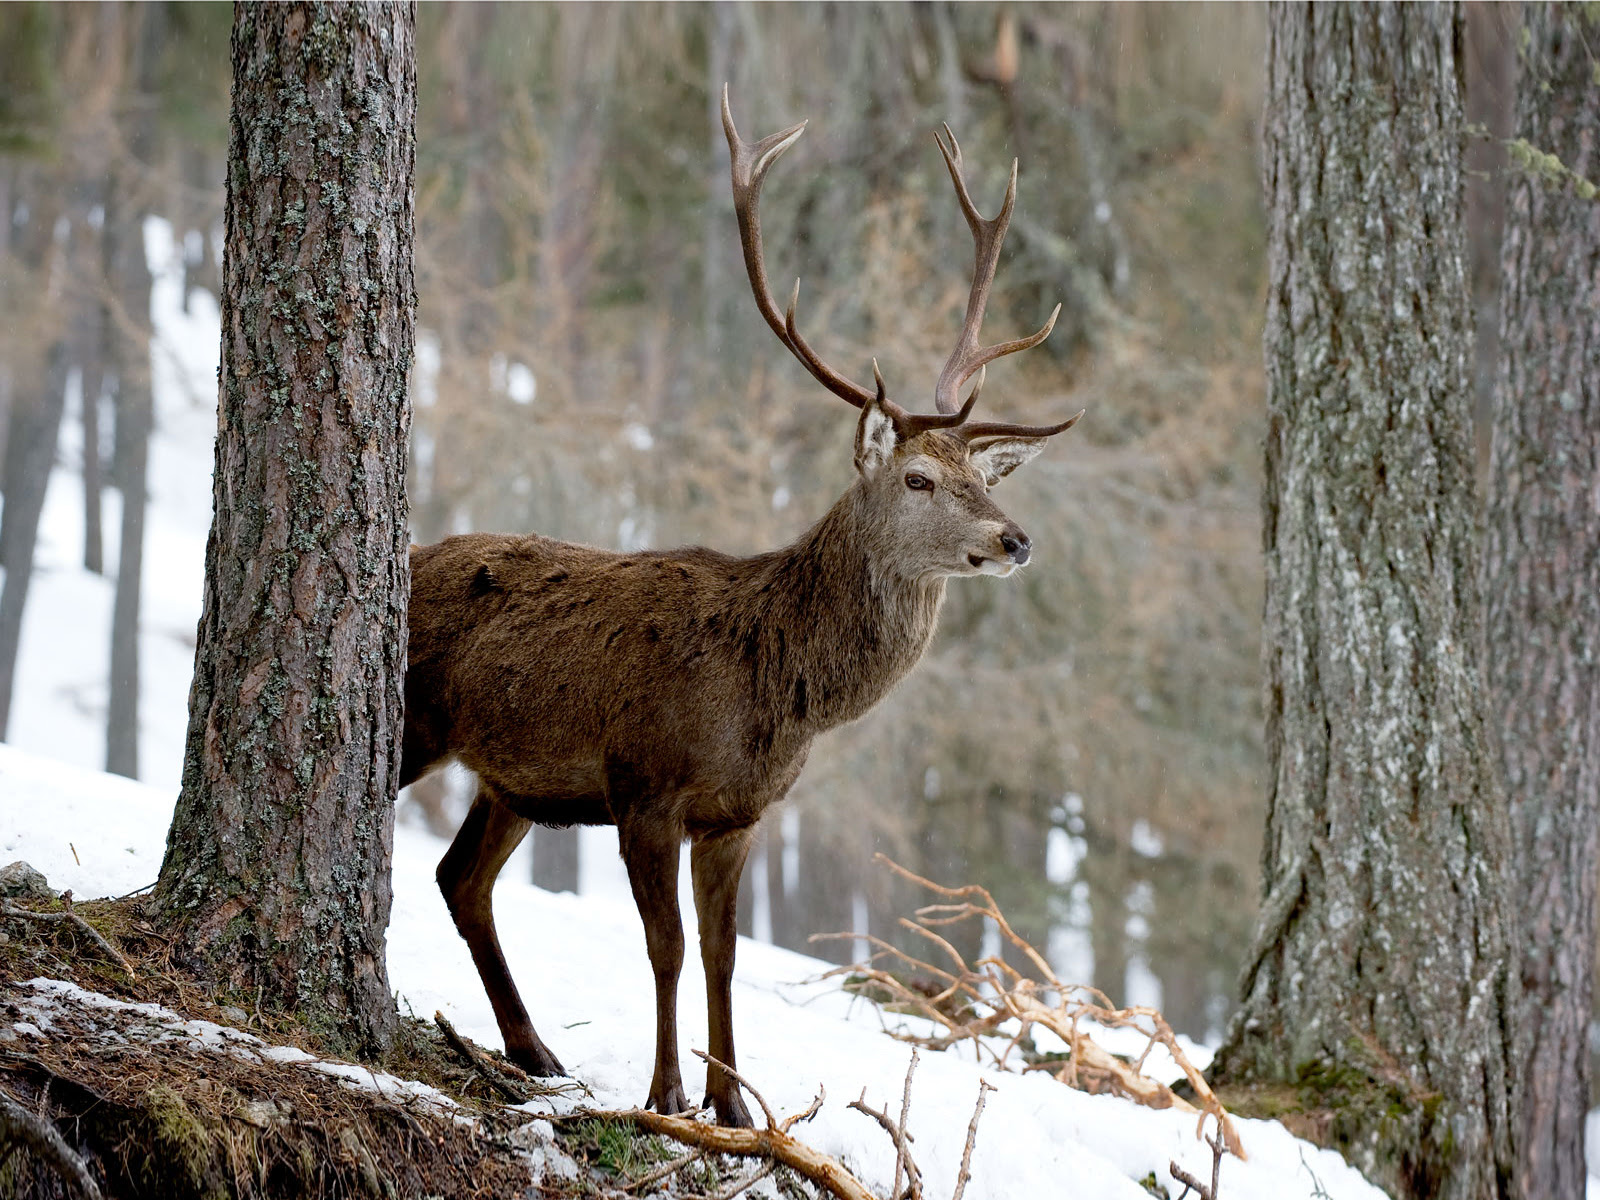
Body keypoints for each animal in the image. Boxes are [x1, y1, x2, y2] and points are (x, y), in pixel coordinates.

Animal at [400, 89, 1084, 1128]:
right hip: (415, 724)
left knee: (461, 877)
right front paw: (668, 1092)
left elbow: (724, 954)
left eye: (982, 479)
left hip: (513, 778)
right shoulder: (644, 784)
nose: (1015, 540)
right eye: (920, 479)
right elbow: (668, 946)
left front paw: (735, 1105)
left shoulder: (738, 814)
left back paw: (533, 1049)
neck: (771, 693)